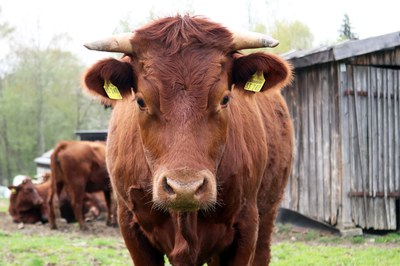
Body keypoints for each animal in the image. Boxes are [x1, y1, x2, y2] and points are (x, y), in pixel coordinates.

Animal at [82, 15, 294, 264]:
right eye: (141, 101)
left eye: (225, 98)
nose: (185, 189)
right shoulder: (130, 226)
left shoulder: (246, 225)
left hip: (267, 212)